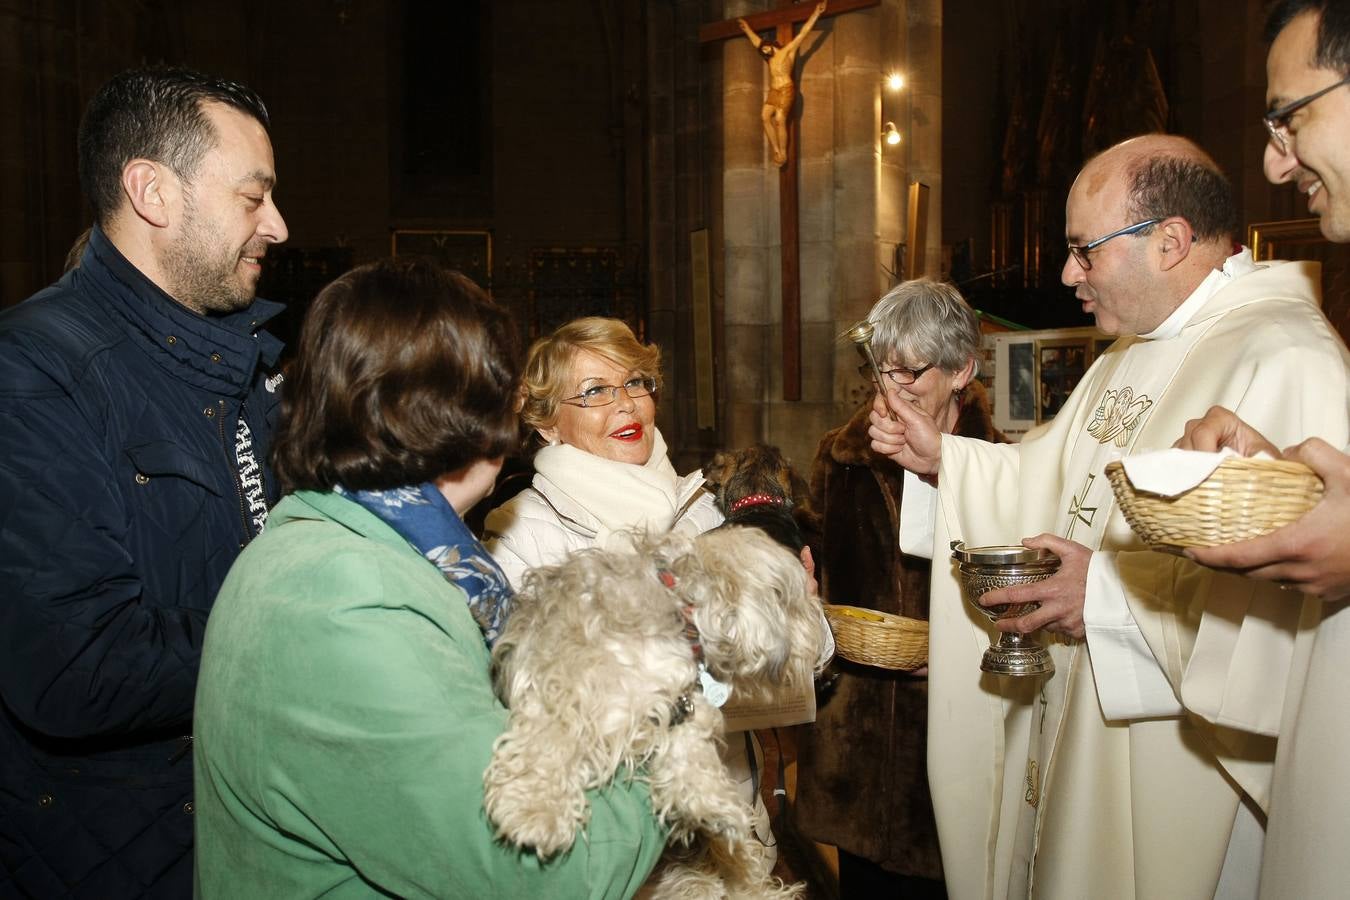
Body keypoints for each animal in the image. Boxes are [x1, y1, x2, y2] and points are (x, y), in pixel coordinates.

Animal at [486, 523, 820, 895]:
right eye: (797, 602)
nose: (821, 633)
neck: (680, 608)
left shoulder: (677, 700)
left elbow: (690, 751)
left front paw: (710, 802)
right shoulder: (561, 683)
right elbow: (550, 741)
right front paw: (535, 808)